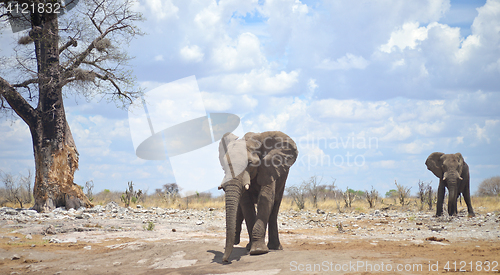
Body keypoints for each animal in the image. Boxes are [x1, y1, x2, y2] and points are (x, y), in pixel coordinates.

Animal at [216, 132, 294, 264]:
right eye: (224, 166)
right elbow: (246, 203)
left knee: (274, 207)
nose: (225, 260)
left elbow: (265, 198)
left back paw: (275, 248)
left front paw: (258, 251)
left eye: (250, 163)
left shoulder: (269, 168)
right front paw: (254, 248)